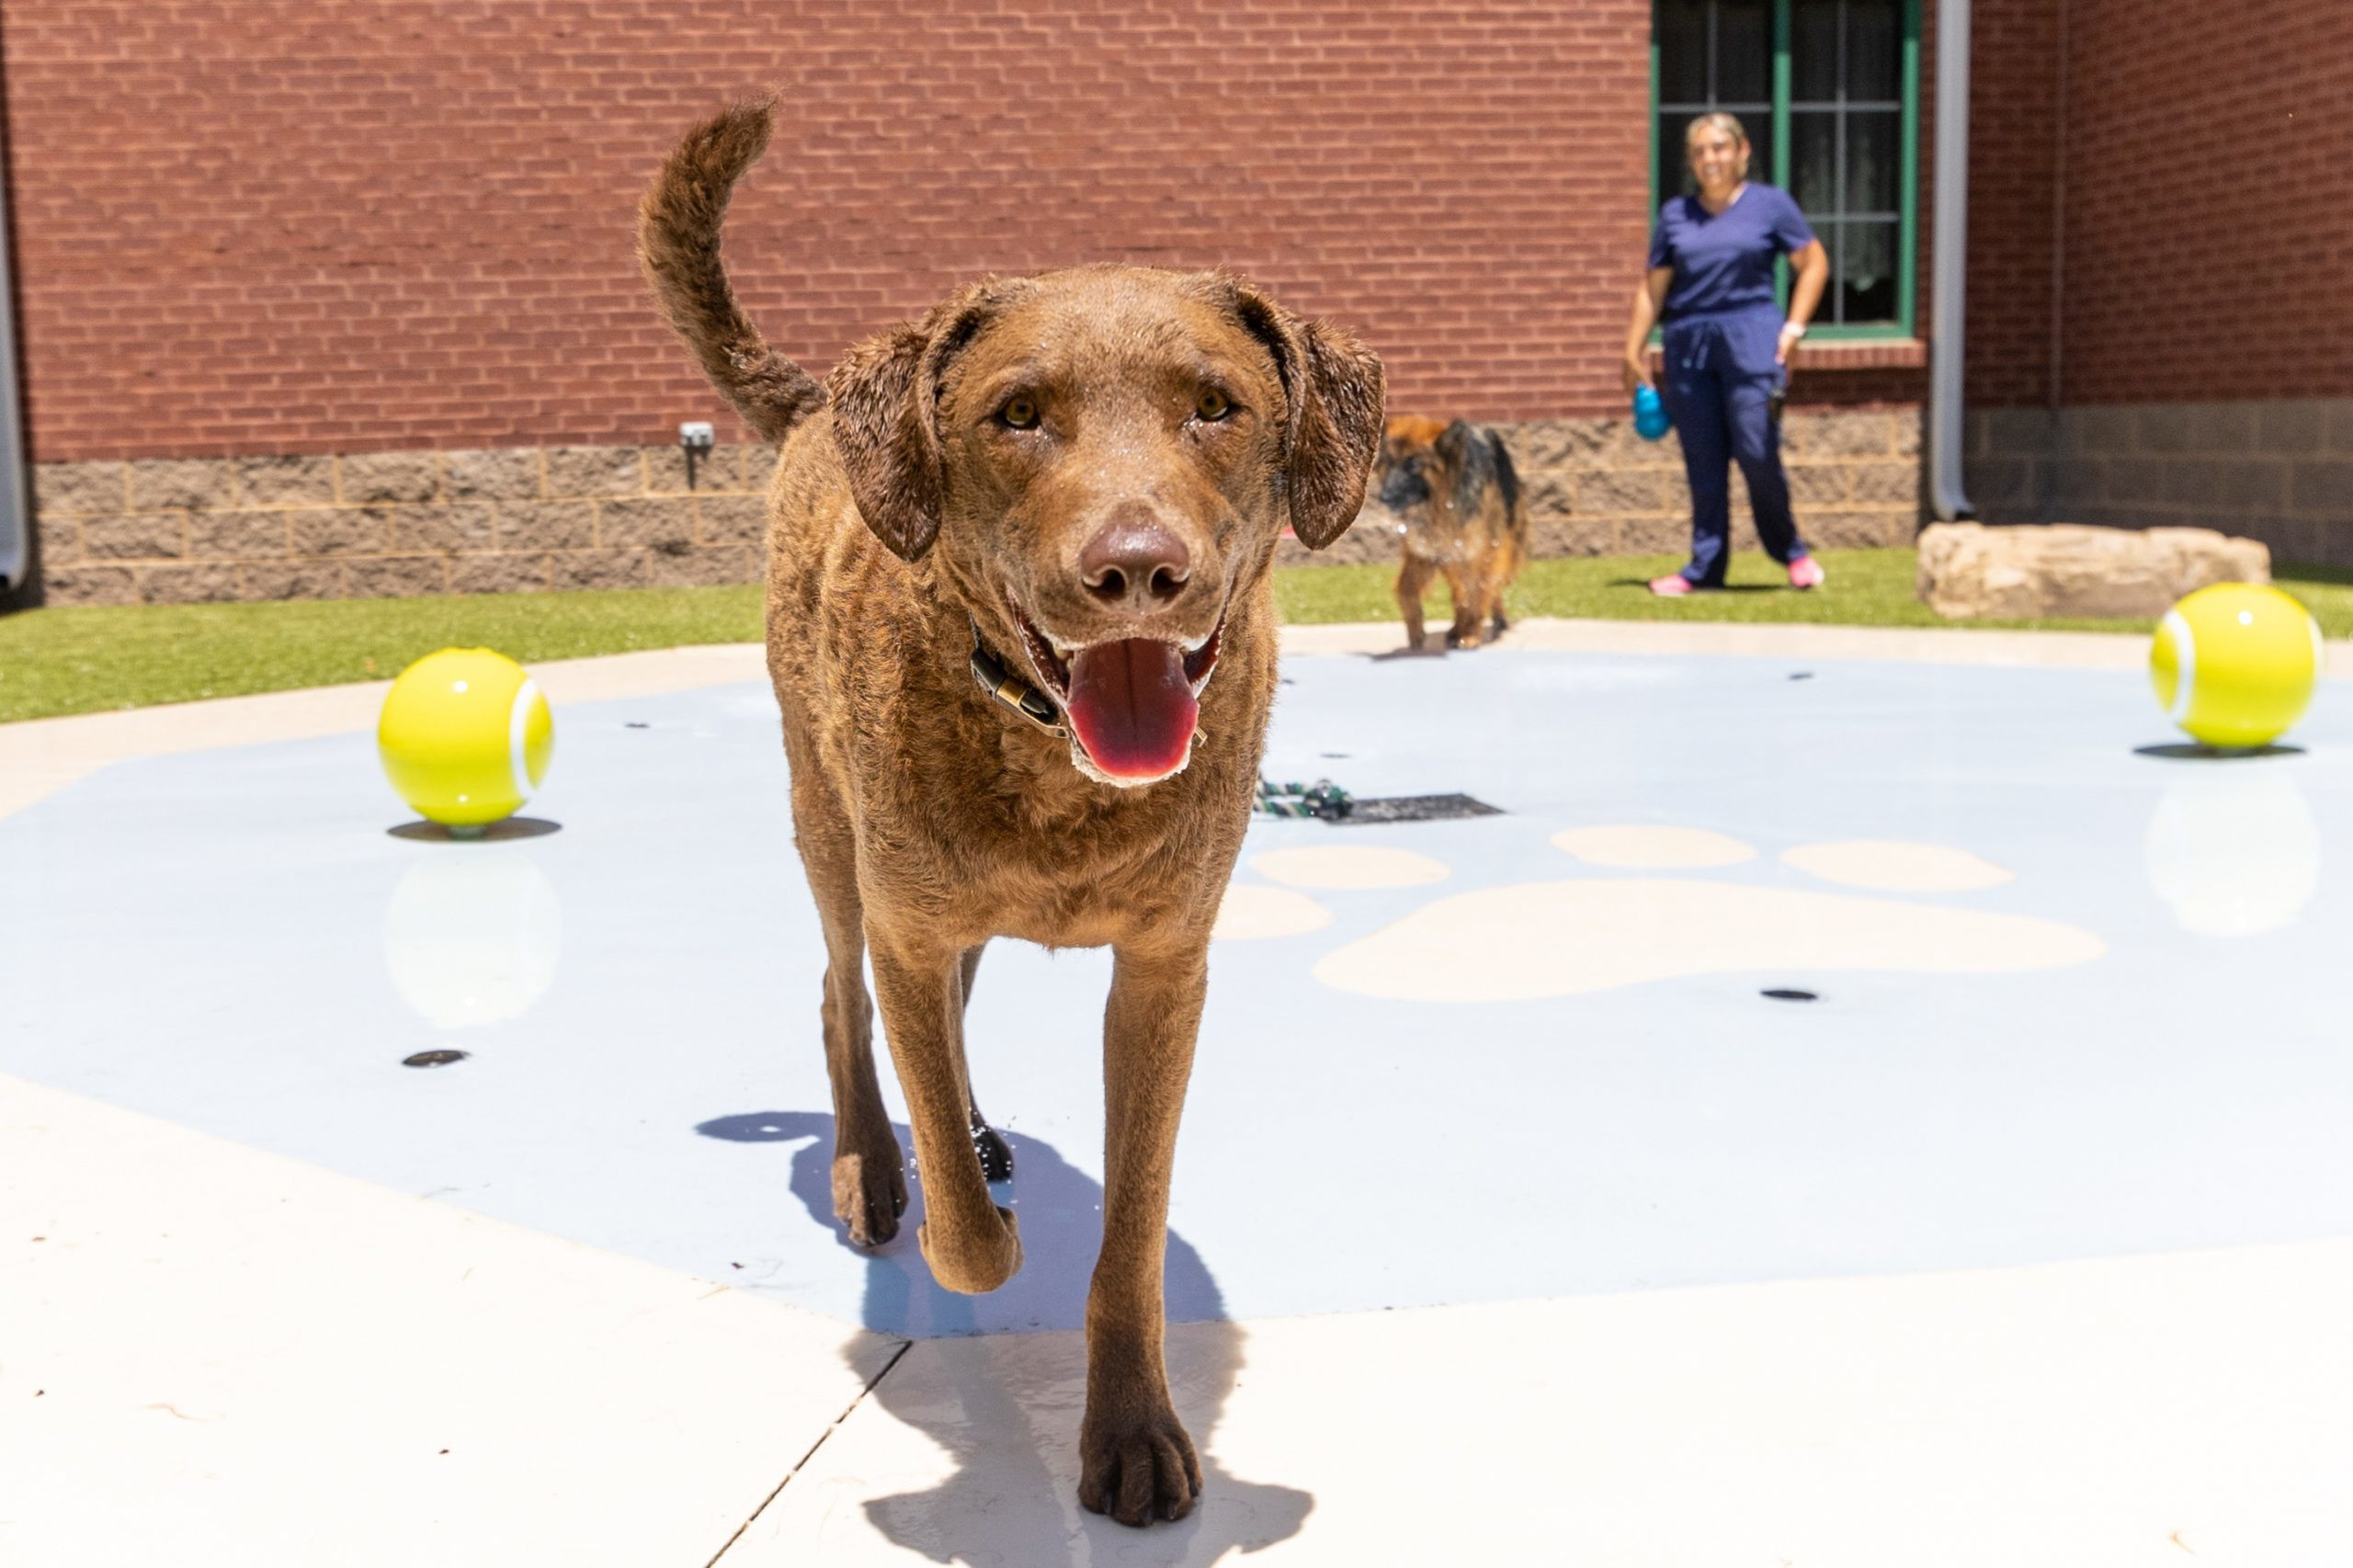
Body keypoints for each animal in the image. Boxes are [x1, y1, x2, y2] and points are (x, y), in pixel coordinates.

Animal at [635, 103, 1383, 1516]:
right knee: (844, 998)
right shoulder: (911, 924)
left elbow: (1132, 1229)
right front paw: (953, 1217)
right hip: (830, 829)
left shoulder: (1165, 970)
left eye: (1217, 405)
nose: (1137, 568)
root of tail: (822, 405)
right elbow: (971, 1237)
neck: (1052, 761)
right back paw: (880, 1165)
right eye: (1018, 415)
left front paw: (1131, 1429)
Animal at [1374, 412, 1534, 649]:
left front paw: (1471, 634)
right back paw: (1458, 628)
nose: (1384, 497)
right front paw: (1416, 630)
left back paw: (1493, 621)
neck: (1440, 507)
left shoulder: (1479, 551)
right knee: (1461, 591)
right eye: (1387, 462)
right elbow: (1406, 589)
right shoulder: (1424, 553)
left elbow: (1478, 592)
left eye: (1414, 464)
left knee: (1487, 585)